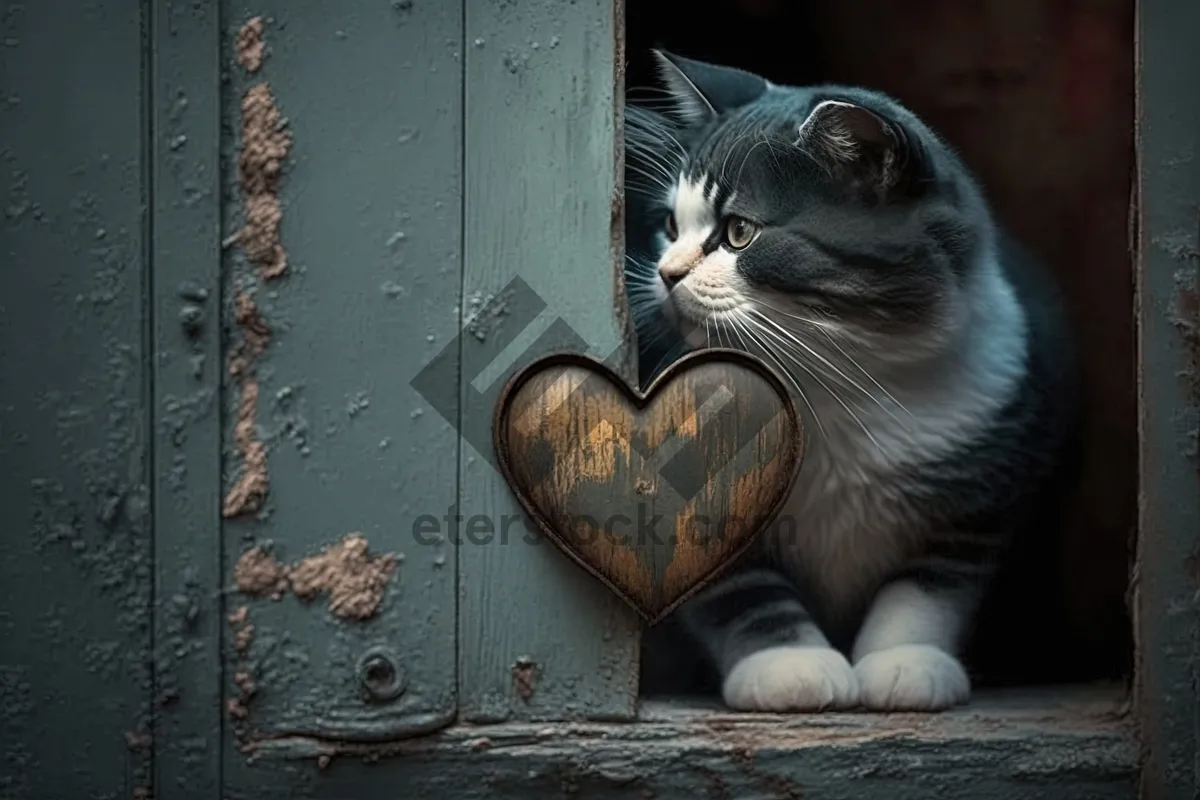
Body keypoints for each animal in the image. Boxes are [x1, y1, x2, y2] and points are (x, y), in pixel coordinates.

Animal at [624, 51, 1084, 714]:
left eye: (738, 232)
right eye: (669, 224)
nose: (666, 273)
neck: (830, 384)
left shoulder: (989, 484)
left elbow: (930, 583)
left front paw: (906, 662)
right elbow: (737, 584)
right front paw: (788, 666)